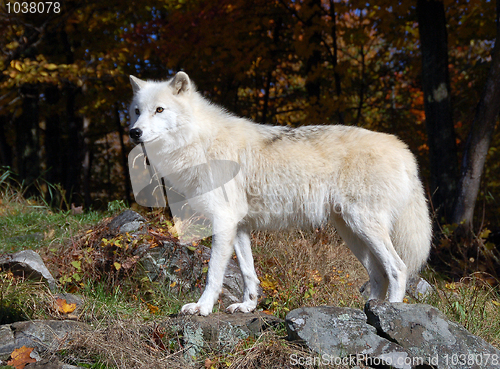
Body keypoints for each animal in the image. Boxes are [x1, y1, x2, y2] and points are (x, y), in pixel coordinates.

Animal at [127, 72, 432, 316]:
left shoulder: (223, 220)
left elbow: (214, 273)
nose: (133, 132)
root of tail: (403, 150)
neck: (199, 142)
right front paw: (248, 306)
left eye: (160, 109)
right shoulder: (239, 225)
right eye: (137, 111)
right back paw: (368, 311)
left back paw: (391, 311)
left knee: (398, 268)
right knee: (378, 274)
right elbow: (249, 273)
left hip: (364, 227)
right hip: (352, 233)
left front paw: (202, 308)